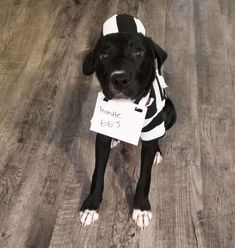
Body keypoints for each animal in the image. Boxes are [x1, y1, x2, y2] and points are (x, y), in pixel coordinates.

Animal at [80, 14, 175, 229]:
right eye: (104, 55)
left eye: (138, 52)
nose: (120, 80)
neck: (126, 107)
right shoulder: (102, 135)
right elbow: (98, 173)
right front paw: (91, 205)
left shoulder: (152, 130)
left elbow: (145, 176)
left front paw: (141, 208)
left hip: (169, 113)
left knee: (159, 135)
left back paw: (157, 151)